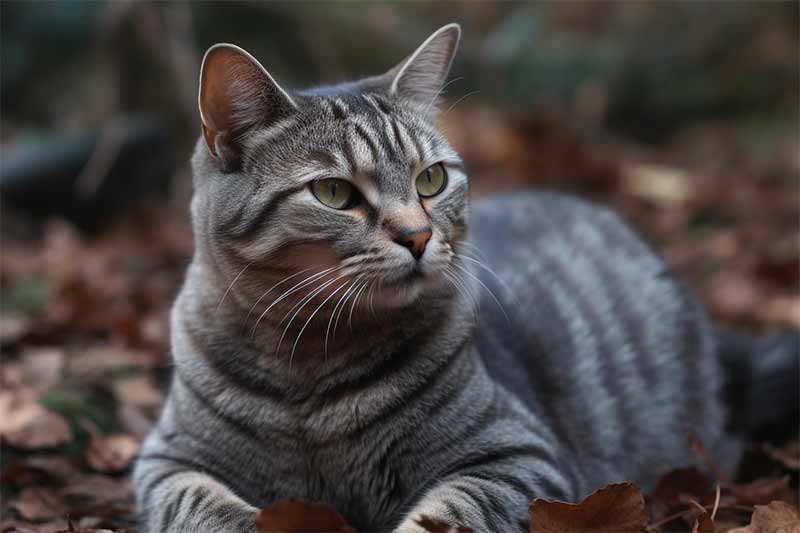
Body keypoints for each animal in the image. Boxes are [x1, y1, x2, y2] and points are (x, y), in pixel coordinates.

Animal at [134, 22, 796, 528]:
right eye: (334, 193)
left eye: (431, 179)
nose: (418, 236)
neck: (311, 364)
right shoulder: (167, 462)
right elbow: (204, 506)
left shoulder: (516, 456)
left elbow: (447, 515)